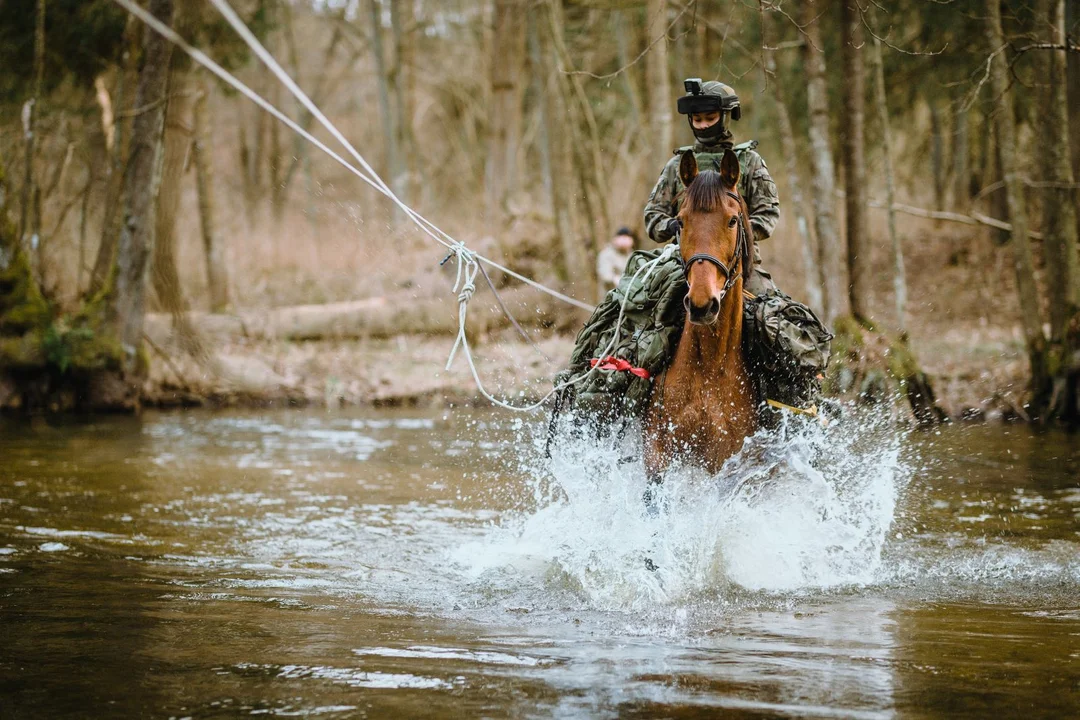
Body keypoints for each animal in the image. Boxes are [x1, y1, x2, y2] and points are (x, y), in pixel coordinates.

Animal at [639, 147, 760, 483]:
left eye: (732, 220)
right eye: (680, 222)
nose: (702, 304)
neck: (709, 367)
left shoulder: (727, 462)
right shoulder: (657, 449)